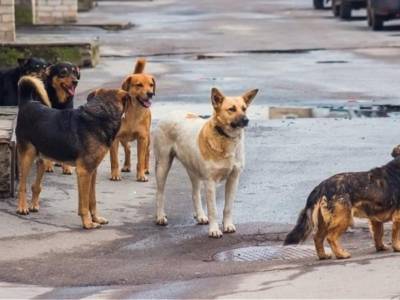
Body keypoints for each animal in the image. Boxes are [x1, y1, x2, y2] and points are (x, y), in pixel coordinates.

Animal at [15, 76, 130, 229]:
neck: (101, 114)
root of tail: (27, 102)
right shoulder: (84, 172)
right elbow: (84, 203)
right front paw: (88, 223)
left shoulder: (92, 171)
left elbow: (92, 200)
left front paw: (96, 218)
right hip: (27, 156)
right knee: (22, 186)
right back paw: (22, 207)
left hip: (43, 159)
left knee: (36, 185)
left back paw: (33, 205)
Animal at [153, 88, 260, 238]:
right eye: (231, 109)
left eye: (244, 109)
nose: (246, 120)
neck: (225, 138)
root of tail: (171, 113)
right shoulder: (210, 182)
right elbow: (213, 209)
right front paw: (214, 230)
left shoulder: (233, 179)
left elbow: (228, 207)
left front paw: (227, 225)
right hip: (163, 165)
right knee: (160, 193)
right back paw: (160, 217)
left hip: (193, 170)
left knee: (195, 193)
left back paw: (200, 216)